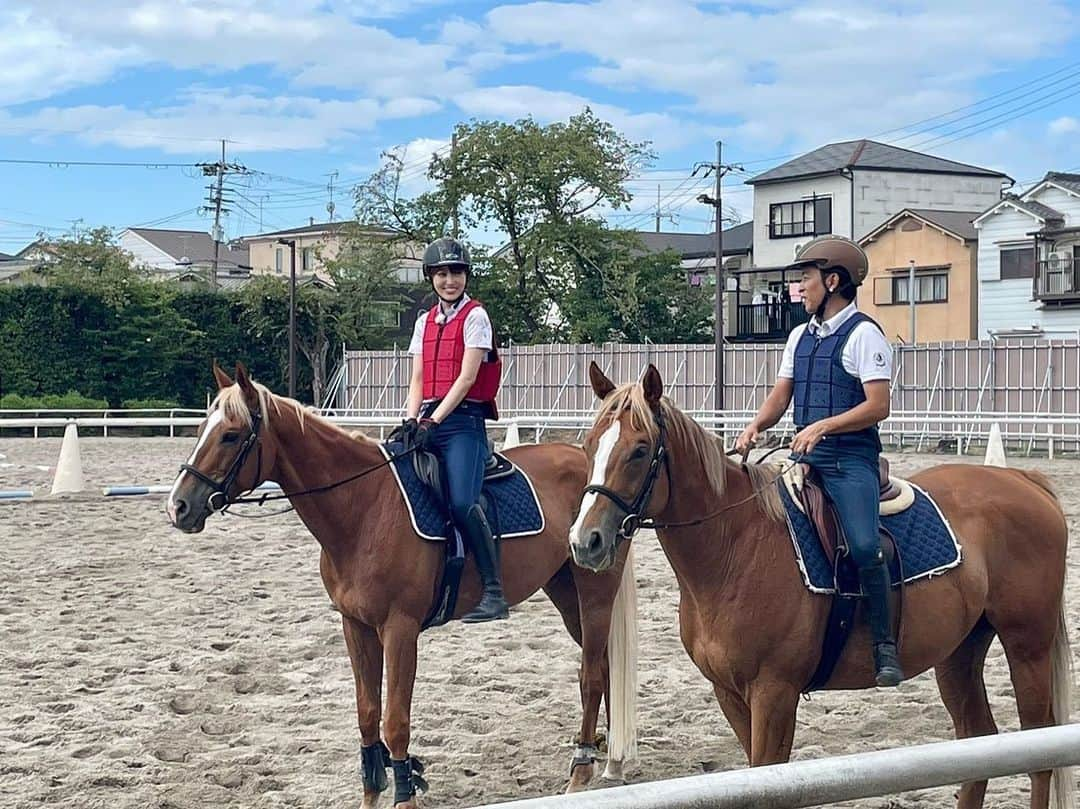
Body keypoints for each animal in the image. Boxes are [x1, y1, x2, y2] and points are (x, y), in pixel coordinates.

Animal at [164, 365, 635, 807]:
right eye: (203, 428)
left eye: (230, 435)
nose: (179, 506)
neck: (363, 507)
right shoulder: (355, 626)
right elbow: (367, 714)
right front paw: (371, 793)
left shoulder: (400, 629)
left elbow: (395, 721)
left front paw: (405, 792)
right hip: (565, 592)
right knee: (601, 665)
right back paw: (609, 756)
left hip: (594, 592)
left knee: (593, 674)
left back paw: (583, 771)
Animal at [570, 362, 1075, 807]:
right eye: (591, 443)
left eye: (639, 450)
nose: (584, 541)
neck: (735, 546)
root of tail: (1024, 480)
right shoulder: (729, 693)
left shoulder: (774, 693)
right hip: (959, 654)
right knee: (977, 744)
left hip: (1026, 648)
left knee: (1039, 755)